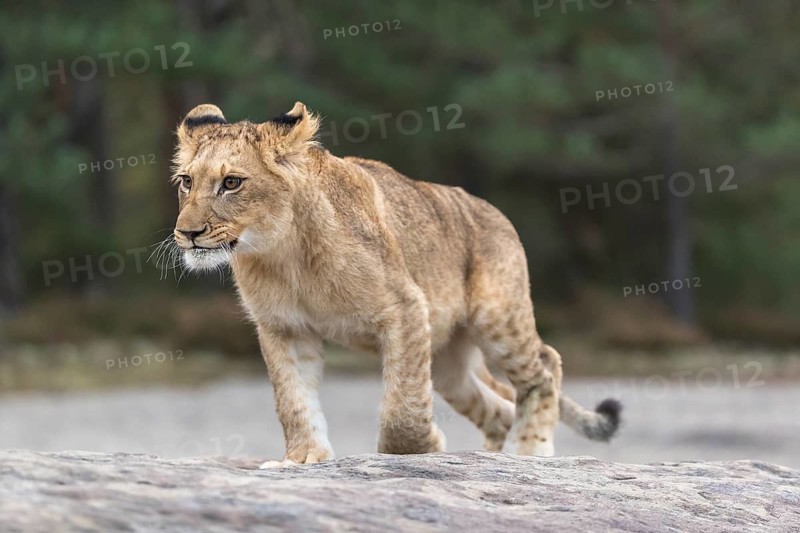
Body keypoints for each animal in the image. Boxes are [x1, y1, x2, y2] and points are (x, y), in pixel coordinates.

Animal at [169, 101, 621, 467]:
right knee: (497, 406)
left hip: (497, 318)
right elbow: (293, 400)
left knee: (545, 364)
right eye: (187, 182)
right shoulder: (284, 327)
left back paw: (528, 449)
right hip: (448, 361)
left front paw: (422, 447)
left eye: (232, 183)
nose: (187, 233)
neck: (282, 254)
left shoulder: (406, 308)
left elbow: (402, 406)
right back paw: (496, 453)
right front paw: (303, 458)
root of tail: (495, 214)